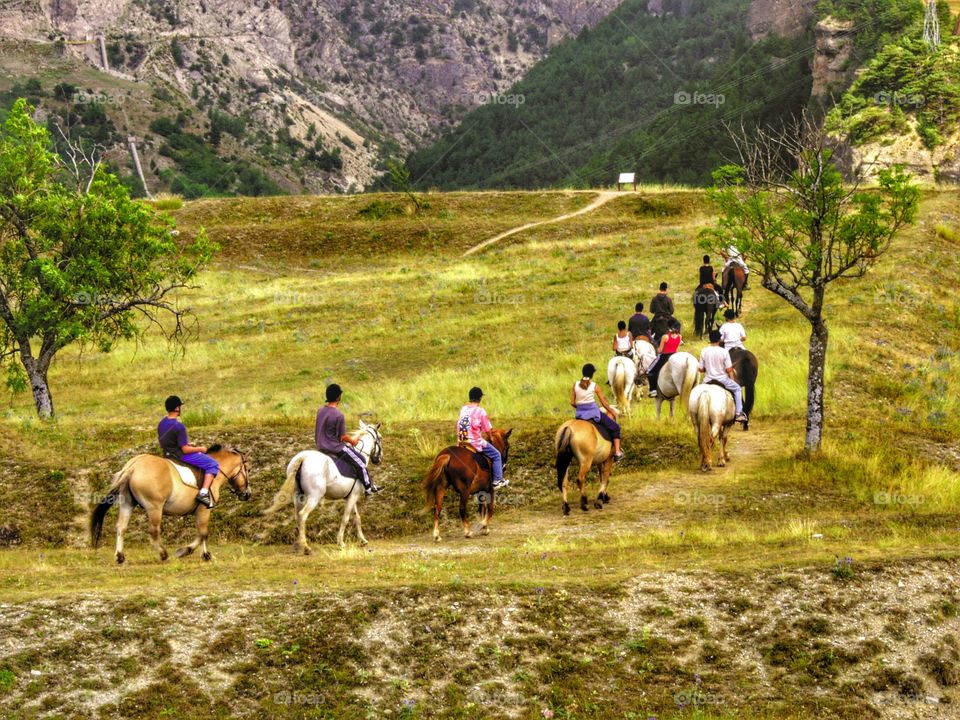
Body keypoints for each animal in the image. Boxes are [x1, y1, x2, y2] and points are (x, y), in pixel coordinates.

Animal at [90, 444, 251, 564]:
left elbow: (202, 533)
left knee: (121, 527)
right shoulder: (204, 510)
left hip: (128, 504)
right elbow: (203, 533)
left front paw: (202, 554)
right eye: (248, 469)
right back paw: (163, 554)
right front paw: (189, 552)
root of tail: (133, 466)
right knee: (154, 531)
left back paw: (120, 556)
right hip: (154, 507)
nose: (247, 494)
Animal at [264, 420, 384, 556]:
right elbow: (345, 518)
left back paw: (297, 545)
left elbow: (356, 517)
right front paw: (340, 542)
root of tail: (303, 458)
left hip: (298, 496)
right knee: (303, 515)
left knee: (298, 517)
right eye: (380, 438)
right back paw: (306, 547)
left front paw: (362, 540)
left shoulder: (352, 495)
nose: (379, 459)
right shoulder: (353, 497)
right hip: (314, 497)